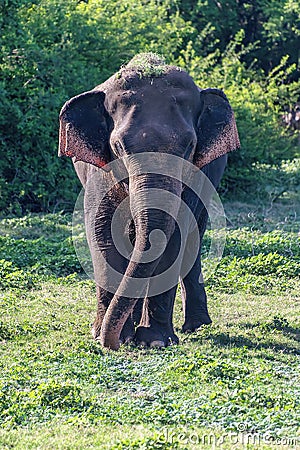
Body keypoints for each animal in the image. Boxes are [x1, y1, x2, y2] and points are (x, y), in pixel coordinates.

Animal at [59, 53, 239, 352]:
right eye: (119, 147)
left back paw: (196, 325)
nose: (111, 343)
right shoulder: (99, 171)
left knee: (194, 238)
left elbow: (173, 239)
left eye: (189, 147)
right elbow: (103, 233)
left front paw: (155, 341)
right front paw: (109, 336)